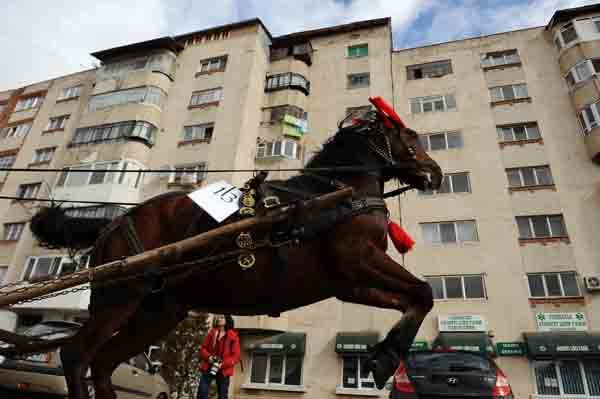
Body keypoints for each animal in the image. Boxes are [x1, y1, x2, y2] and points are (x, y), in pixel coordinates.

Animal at [29, 100, 440, 399]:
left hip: (157, 312)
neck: (337, 192)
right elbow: (425, 291)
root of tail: (114, 221)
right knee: (77, 355)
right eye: (411, 135)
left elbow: (414, 300)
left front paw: (385, 354)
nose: (435, 172)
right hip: (119, 299)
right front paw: (385, 358)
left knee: (103, 363)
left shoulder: (350, 283)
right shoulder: (360, 261)